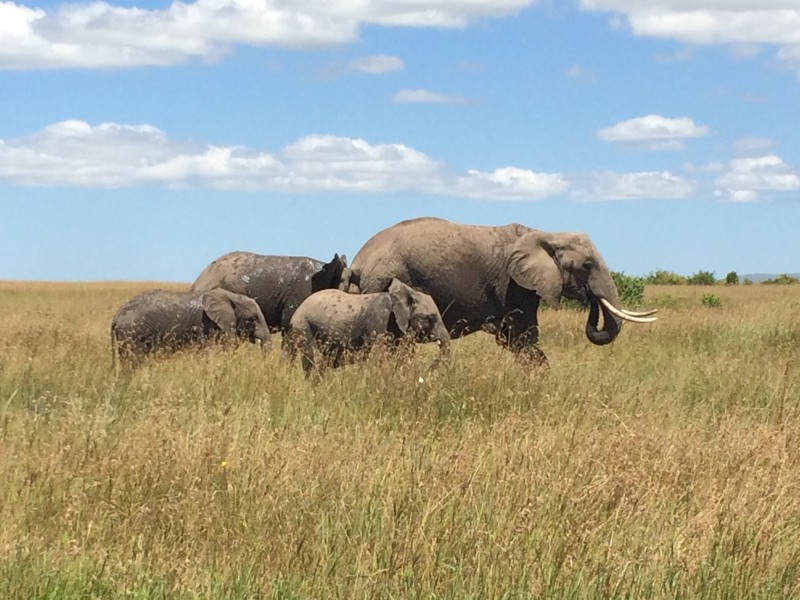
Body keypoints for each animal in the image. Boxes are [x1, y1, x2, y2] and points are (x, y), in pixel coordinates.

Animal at [286, 278, 450, 372]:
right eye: (430, 318)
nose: (429, 369)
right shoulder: (380, 324)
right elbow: (380, 357)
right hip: (303, 327)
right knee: (316, 362)